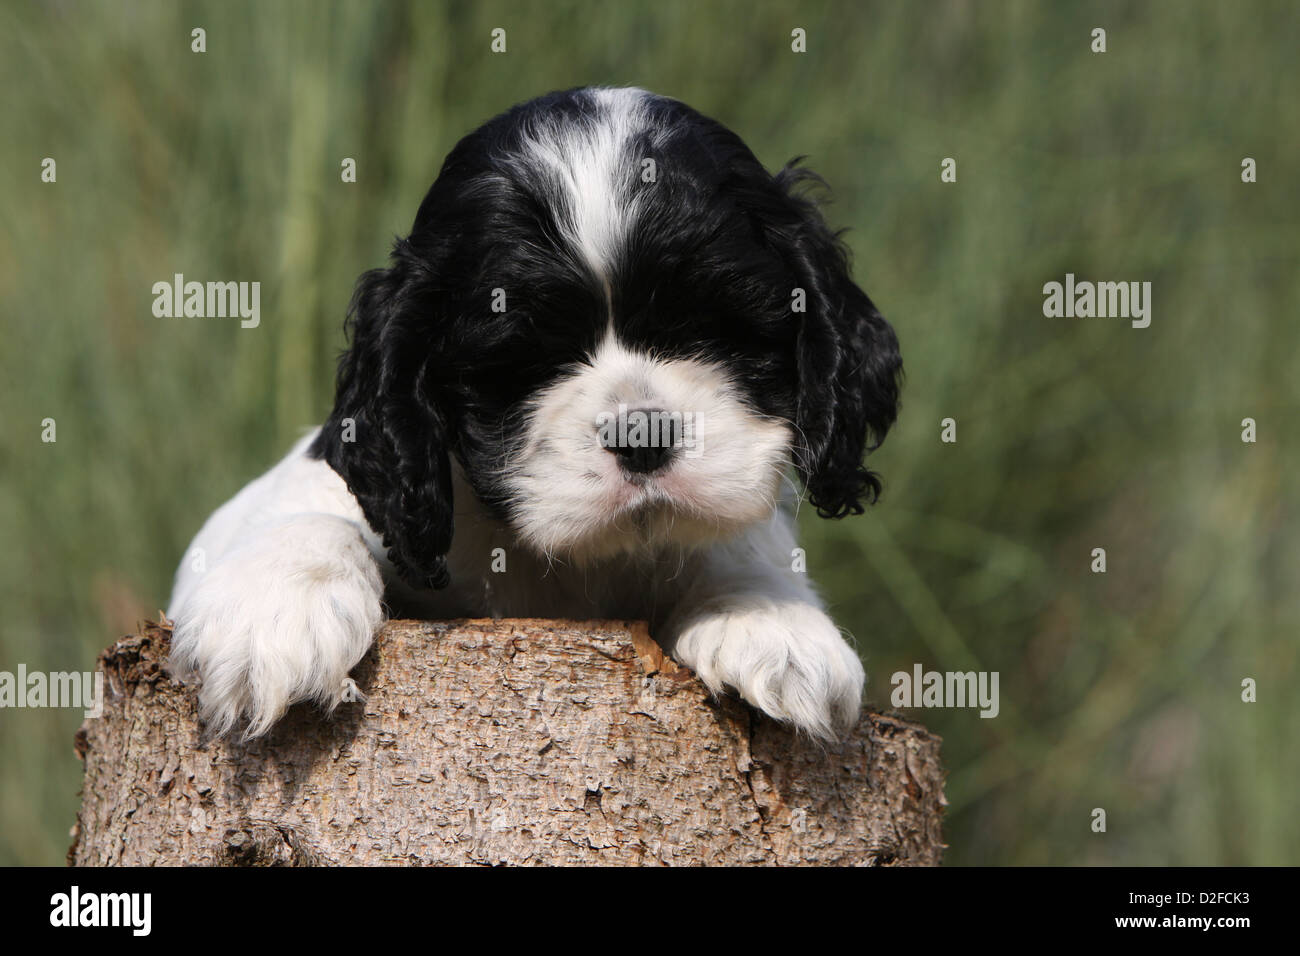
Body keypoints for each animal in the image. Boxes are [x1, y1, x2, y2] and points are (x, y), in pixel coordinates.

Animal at [167, 85, 904, 743]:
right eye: (523, 361)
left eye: (716, 333)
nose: (642, 432)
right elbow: (312, 513)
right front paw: (276, 612)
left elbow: (736, 540)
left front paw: (772, 622)